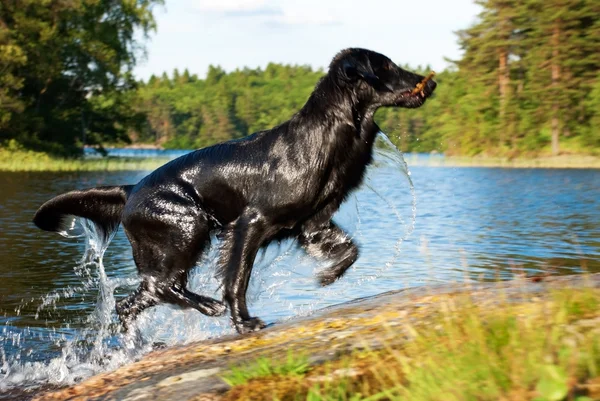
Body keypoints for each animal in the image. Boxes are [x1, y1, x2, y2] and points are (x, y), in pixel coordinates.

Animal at [32, 48, 436, 332]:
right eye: (385, 67)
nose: (430, 82)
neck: (327, 134)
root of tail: (131, 189)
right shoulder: (250, 223)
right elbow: (237, 279)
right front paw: (244, 322)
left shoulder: (312, 224)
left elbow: (351, 249)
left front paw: (327, 276)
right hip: (187, 227)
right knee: (159, 287)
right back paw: (208, 306)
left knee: (133, 300)